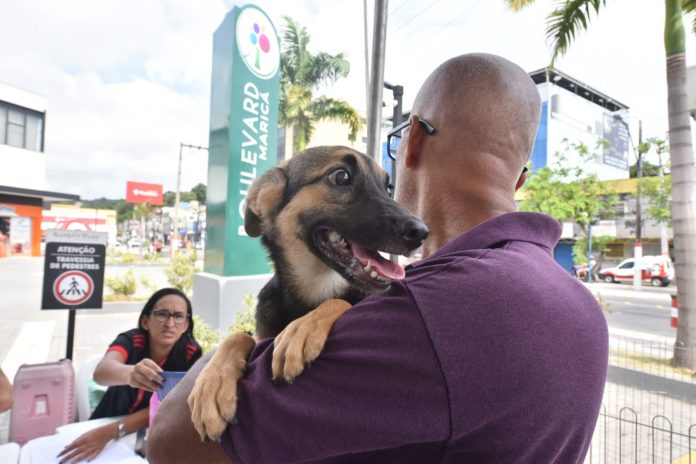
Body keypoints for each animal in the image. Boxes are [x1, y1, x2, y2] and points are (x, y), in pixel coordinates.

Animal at [188, 147, 426, 440]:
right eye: (341, 176)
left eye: (388, 187)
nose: (421, 232)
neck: (313, 288)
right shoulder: (260, 333)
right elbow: (237, 337)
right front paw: (212, 383)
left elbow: (338, 300)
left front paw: (302, 330)